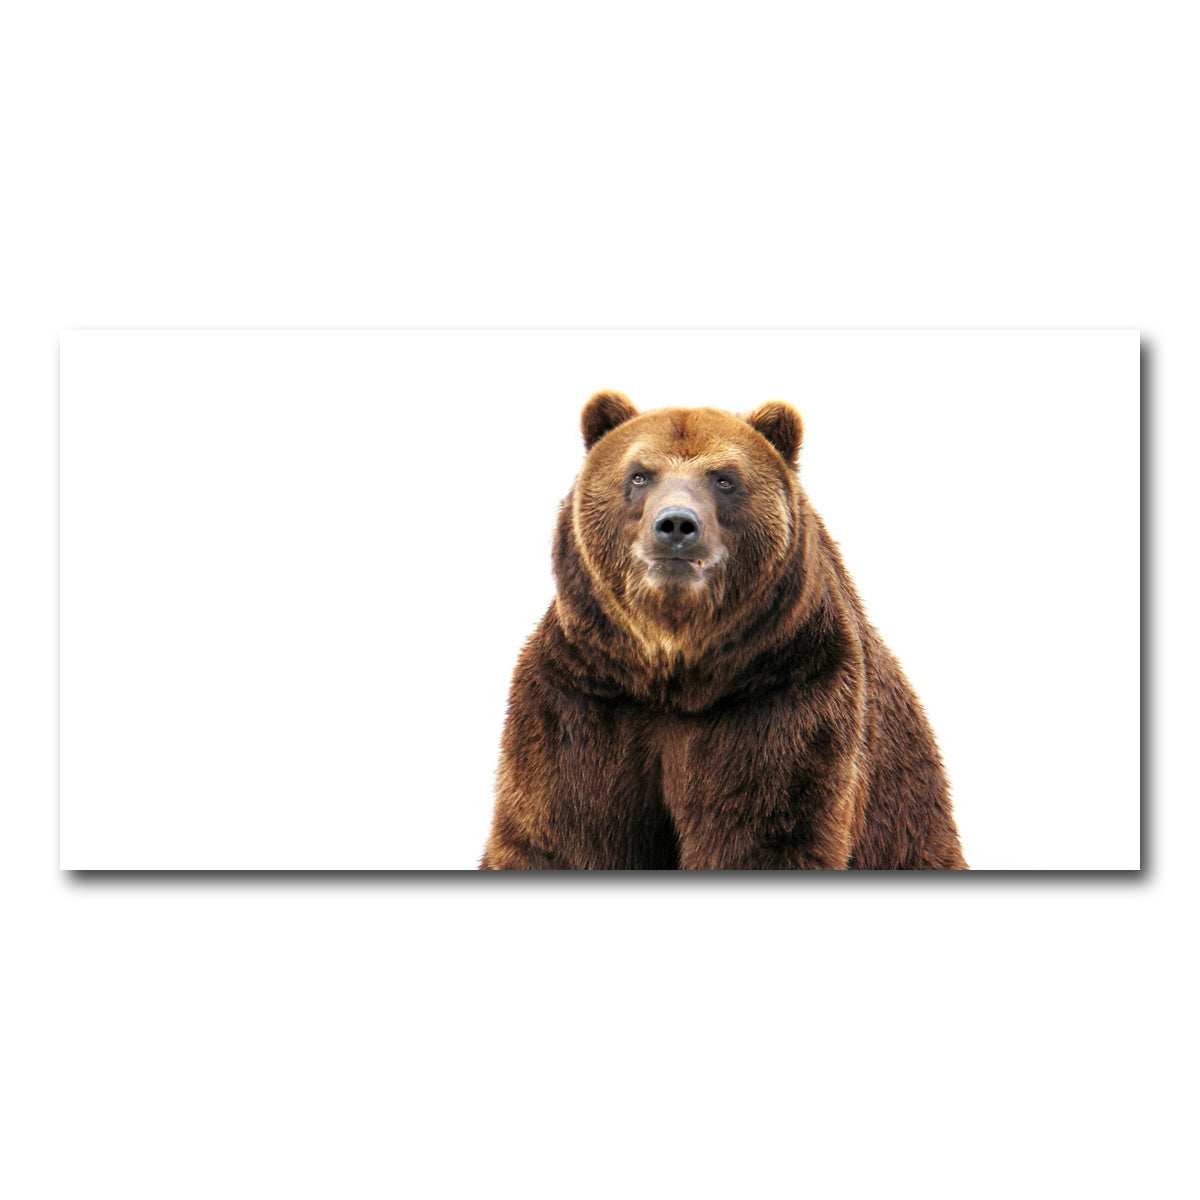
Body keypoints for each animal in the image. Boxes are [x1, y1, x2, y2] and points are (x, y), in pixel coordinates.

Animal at [480, 391, 967, 870]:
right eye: (639, 475)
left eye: (724, 479)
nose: (677, 525)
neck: (675, 672)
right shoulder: (584, 694)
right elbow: (561, 832)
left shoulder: (783, 693)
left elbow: (766, 832)